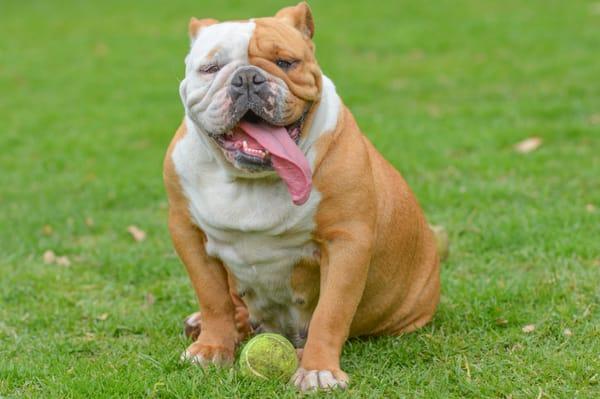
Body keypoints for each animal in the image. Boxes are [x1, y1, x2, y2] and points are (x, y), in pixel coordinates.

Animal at [164, 1, 440, 392]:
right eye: (211, 68)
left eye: (285, 62)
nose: (246, 78)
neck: (254, 180)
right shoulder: (186, 231)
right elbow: (212, 296)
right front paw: (212, 347)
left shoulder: (346, 242)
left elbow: (331, 311)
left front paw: (318, 369)